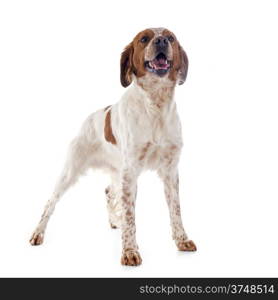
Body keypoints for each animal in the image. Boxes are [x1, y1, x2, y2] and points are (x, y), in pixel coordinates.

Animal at [29, 27, 195, 264]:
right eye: (144, 39)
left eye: (171, 37)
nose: (161, 41)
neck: (155, 105)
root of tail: (88, 119)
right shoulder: (131, 171)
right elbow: (130, 216)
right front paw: (130, 252)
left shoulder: (170, 170)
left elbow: (176, 210)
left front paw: (182, 240)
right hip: (72, 171)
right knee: (50, 202)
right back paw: (37, 233)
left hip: (118, 172)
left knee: (108, 191)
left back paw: (115, 221)